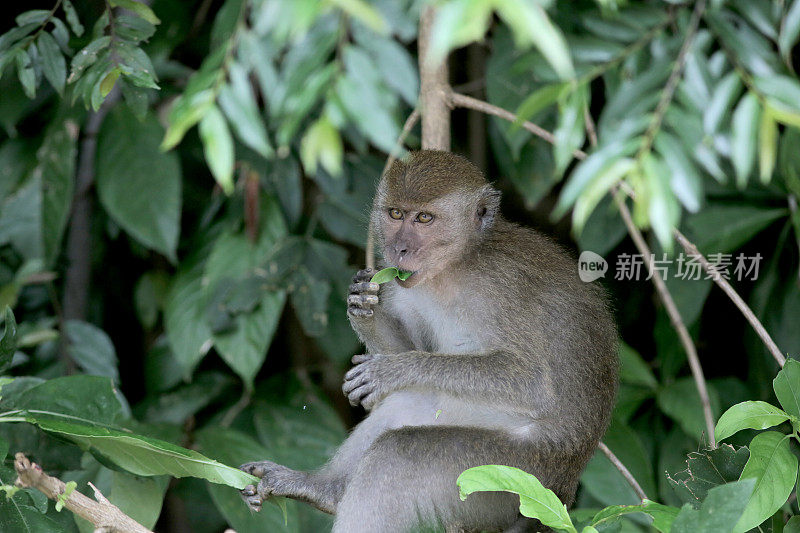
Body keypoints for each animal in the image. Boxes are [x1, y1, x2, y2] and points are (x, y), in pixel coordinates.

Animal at [239, 150, 620, 532]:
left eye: (424, 218)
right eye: (395, 214)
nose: (399, 248)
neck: (456, 266)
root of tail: (566, 485)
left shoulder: (504, 288)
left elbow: (532, 382)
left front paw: (393, 369)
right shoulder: (407, 286)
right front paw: (362, 304)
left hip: (509, 476)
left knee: (399, 453)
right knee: (412, 398)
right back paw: (322, 490)